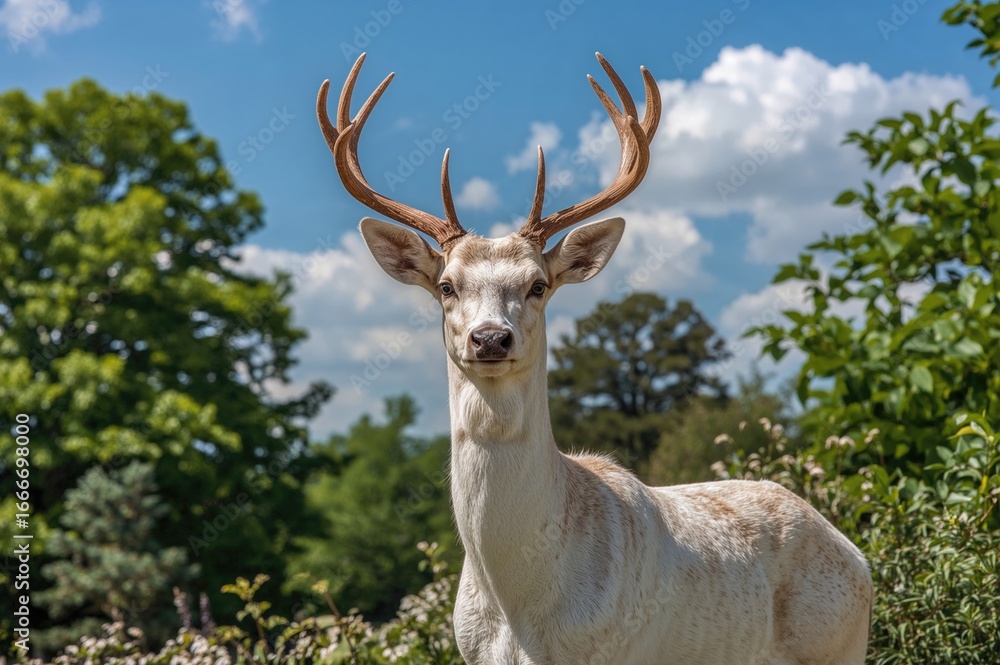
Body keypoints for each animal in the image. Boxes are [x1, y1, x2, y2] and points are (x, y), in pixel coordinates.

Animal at [317, 52, 873, 665]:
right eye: (445, 286)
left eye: (537, 285)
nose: (490, 339)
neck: (521, 615)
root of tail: (858, 555)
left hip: (840, 643)